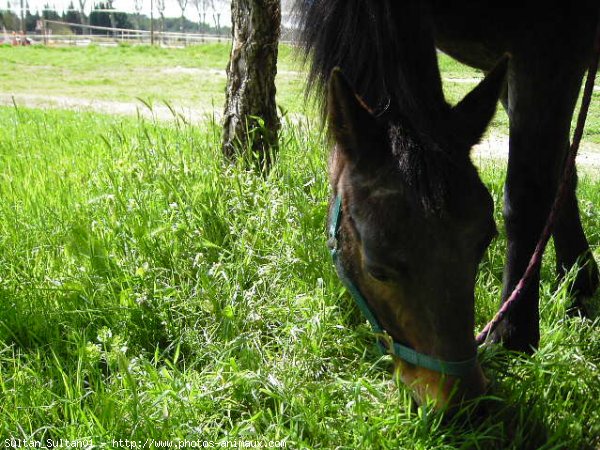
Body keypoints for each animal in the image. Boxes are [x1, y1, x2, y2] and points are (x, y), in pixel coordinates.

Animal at [296, 0, 600, 408]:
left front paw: (513, 334)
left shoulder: (550, 51)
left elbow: (529, 193)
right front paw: (578, 281)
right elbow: (560, 174)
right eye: (377, 269)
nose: (462, 401)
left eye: (485, 242)